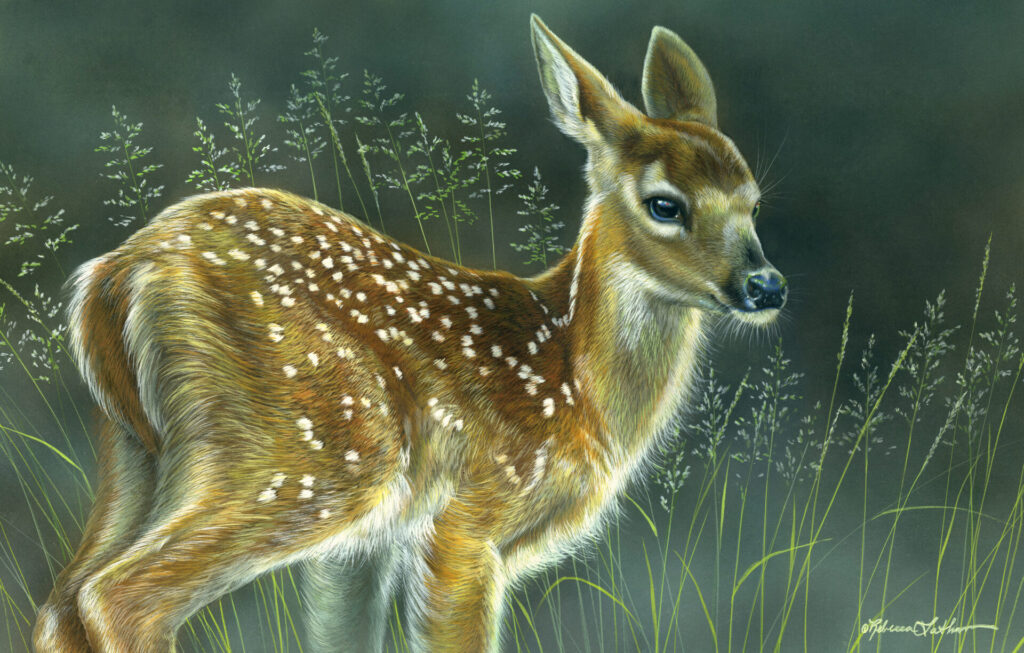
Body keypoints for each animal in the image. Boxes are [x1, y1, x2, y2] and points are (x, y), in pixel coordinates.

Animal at [33, 14, 787, 653]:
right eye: (665, 205)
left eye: (753, 203)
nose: (767, 285)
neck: (571, 374)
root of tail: (116, 273)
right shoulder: (463, 521)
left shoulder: (363, 550)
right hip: (313, 455)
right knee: (118, 597)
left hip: (141, 452)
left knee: (62, 603)